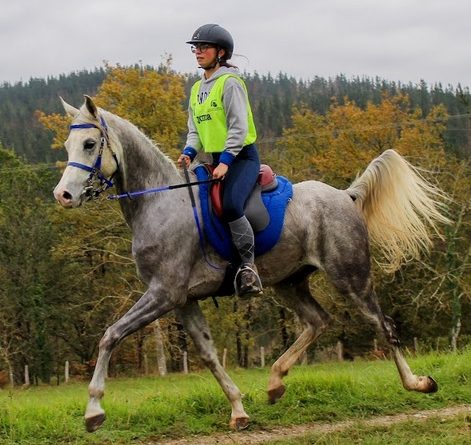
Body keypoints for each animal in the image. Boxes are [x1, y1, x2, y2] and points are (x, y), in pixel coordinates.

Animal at [53, 96, 448, 430]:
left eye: (90, 144)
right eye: (68, 146)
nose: (64, 195)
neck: (159, 204)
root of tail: (345, 195)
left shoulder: (164, 294)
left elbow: (111, 335)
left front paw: (94, 410)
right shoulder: (182, 300)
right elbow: (209, 355)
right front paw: (239, 409)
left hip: (351, 277)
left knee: (384, 325)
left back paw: (418, 383)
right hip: (289, 281)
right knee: (318, 321)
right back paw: (275, 382)